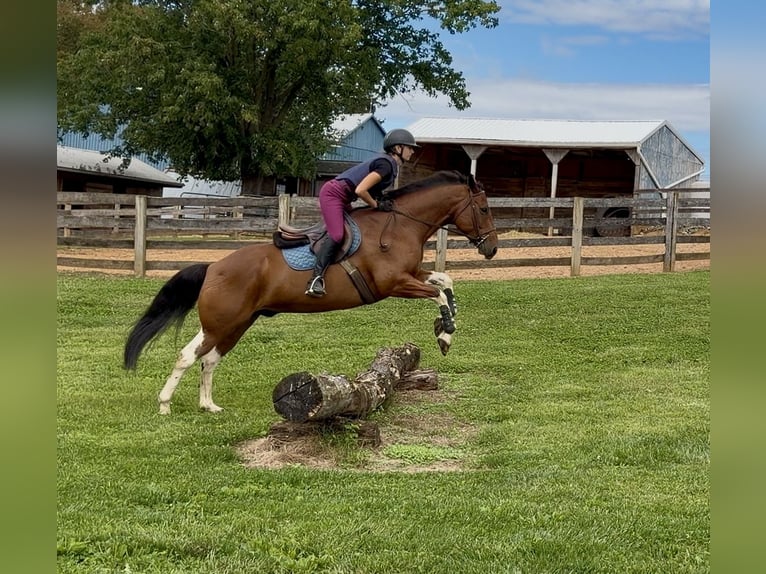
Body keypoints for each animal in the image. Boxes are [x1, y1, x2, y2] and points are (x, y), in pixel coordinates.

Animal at [124, 170, 498, 414]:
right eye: (483, 209)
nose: (491, 248)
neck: (401, 224)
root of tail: (213, 267)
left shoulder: (412, 274)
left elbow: (445, 281)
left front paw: (446, 326)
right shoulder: (394, 283)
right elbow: (438, 293)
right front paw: (445, 334)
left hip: (238, 323)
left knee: (210, 359)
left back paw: (208, 405)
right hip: (221, 323)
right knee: (189, 355)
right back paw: (165, 405)